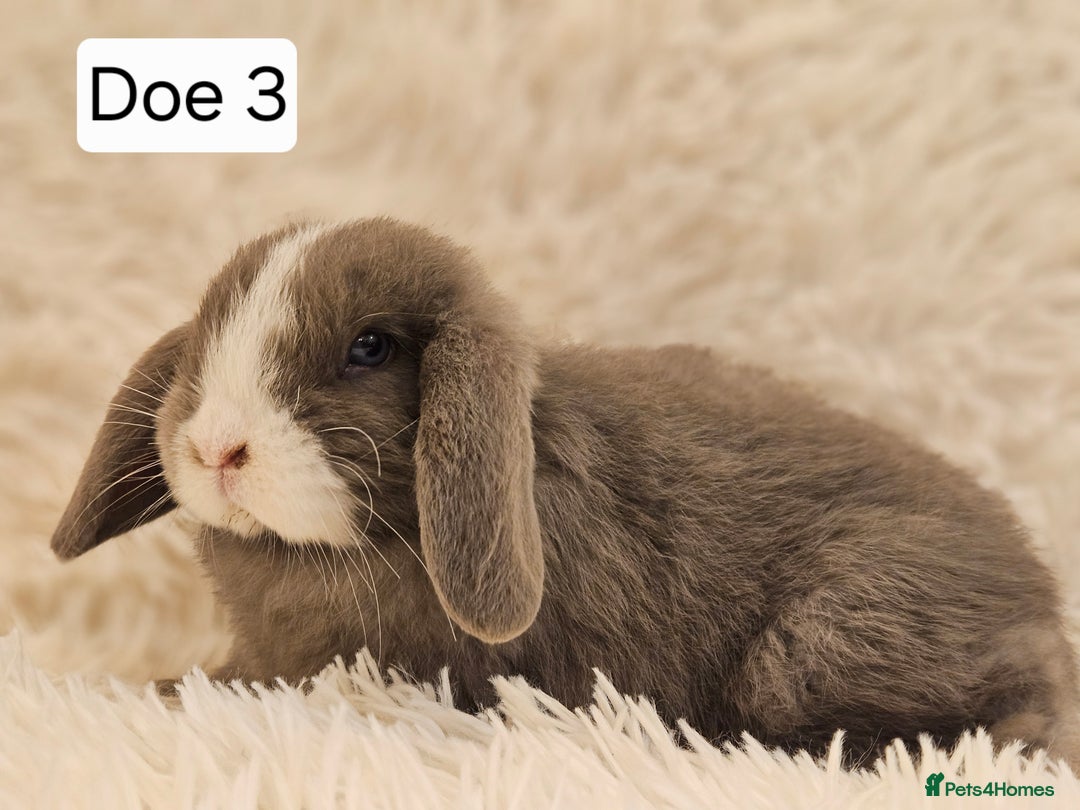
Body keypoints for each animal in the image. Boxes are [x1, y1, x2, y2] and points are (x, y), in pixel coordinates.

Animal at [51, 217, 1079, 768]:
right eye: (207, 334)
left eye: (369, 348)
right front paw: (159, 684)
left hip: (820, 642)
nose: (215, 446)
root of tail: (1041, 607)